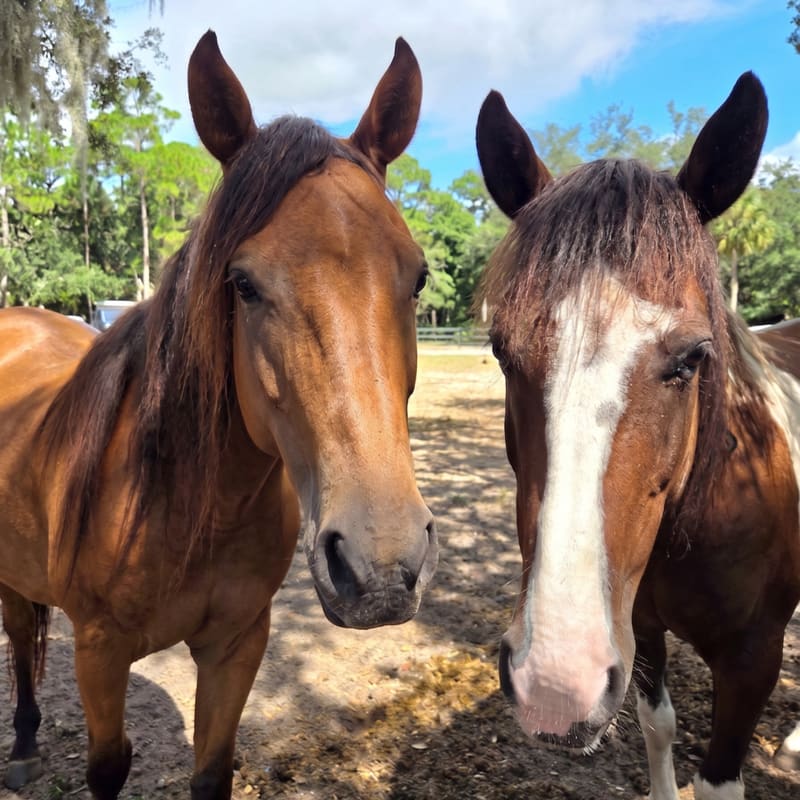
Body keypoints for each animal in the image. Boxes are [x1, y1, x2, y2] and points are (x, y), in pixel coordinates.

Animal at [0, 30, 437, 800]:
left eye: (416, 277)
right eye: (243, 283)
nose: (381, 566)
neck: (188, 504)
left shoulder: (237, 644)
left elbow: (211, 773)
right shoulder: (99, 651)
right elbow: (107, 768)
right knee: (22, 638)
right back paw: (23, 743)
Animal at [475, 73, 800, 799]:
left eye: (693, 358)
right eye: (503, 351)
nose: (554, 685)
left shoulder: (754, 661)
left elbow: (720, 781)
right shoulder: (642, 628)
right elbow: (658, 726)